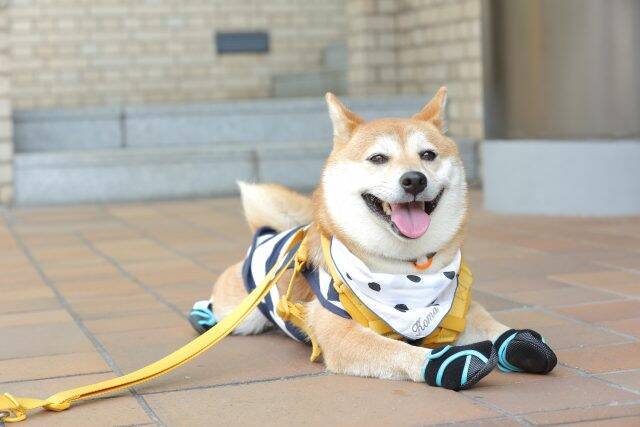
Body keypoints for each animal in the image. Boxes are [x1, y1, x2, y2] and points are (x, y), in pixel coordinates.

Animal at [189, 87, 557, 390]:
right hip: (242, 314)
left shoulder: (461, 311)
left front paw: (521, 345)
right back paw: (203, 317)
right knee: (218, 309)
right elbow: (397, 351)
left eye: (428, 155)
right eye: (378, 158)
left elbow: (494, 326)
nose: (414, 179)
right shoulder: (342, 334)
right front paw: (449, 364)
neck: (408, 270)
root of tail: (267, 235)